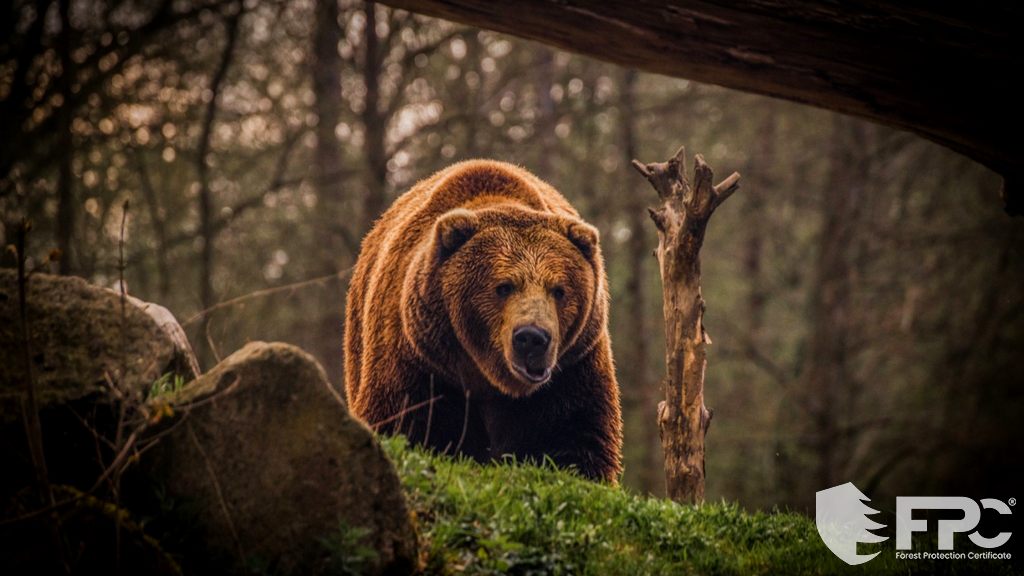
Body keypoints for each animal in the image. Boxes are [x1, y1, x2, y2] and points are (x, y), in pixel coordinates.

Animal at [344, 156, 622, 479]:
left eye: (559, 290)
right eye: (503, 286)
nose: (532, 337)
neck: (489, 380)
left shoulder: (573, 368)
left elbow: (576, 439)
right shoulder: (419, 362)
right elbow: (403, 422)